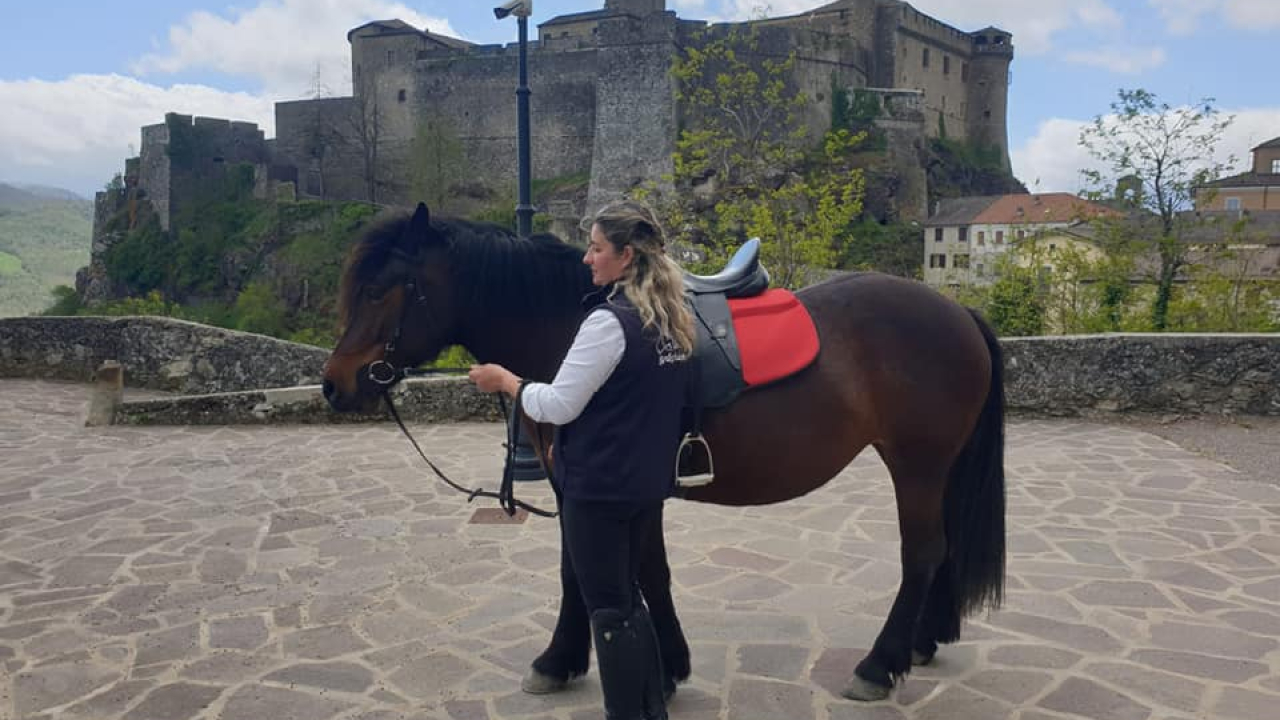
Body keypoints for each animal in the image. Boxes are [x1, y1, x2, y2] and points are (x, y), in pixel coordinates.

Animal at [317, 204, 998, 696]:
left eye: (380, 289)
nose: (334, 383)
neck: (572, 325)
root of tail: (956, 309)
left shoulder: (614, 483)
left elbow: (626, 572)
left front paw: (639, 665)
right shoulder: (587, 484)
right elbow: (604, 569)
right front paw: (585, 660)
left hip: (917, 464)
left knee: (923, 553)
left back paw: (879, 665)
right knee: (942, 549)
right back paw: (921, 642)